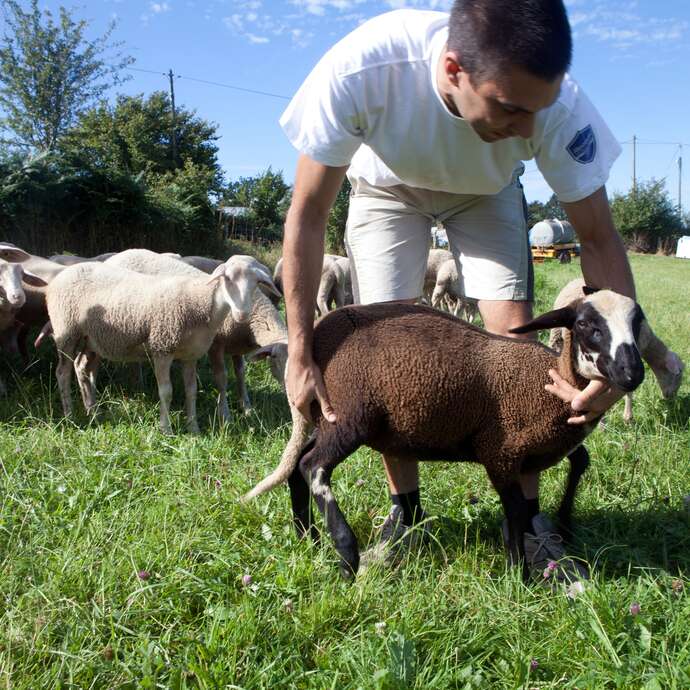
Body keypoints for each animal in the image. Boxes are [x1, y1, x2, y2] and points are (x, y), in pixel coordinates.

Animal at [43, 255, 272, 432]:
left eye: (256, 284)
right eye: (227, 278)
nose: (242, 315)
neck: (200, 302)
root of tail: (60, 276)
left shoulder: (190, 355)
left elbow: (191, 390)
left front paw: (194, 429)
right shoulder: (162, 347)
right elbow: (166, 391)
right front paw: (166, 429)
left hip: (90, 338)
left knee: (80, 367)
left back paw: (93, 411)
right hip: (66, 331)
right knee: (62, 373)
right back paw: (70, 416)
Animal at [246, 288, 644, 576]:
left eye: (638, 322)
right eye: (585, 324)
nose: (632, 373)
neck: (549, 383)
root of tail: (318, 333)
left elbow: (580, 461)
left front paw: (564, 524)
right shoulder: (501, 451)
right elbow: (516, 511)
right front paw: (519, 576)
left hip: (332, 419)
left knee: (298, 464)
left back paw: (308, 537)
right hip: (350, 416)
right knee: (313, 467)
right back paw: (346, 554)